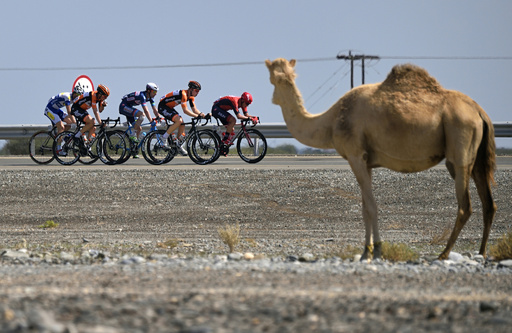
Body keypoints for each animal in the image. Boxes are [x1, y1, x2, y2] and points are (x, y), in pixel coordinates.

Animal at [266, 57, 498, 260]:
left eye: (278, 78)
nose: (274, 97)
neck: (331, 121)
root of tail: (480, 112)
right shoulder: (366, 161)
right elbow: (363, 208)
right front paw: (365, 252)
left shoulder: (355, 155)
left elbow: (371, 206)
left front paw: (375, 251)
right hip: (476, 157)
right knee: (489, 203)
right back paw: (481, 252)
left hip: (460, 142)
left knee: (465, 205)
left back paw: (443, 254)